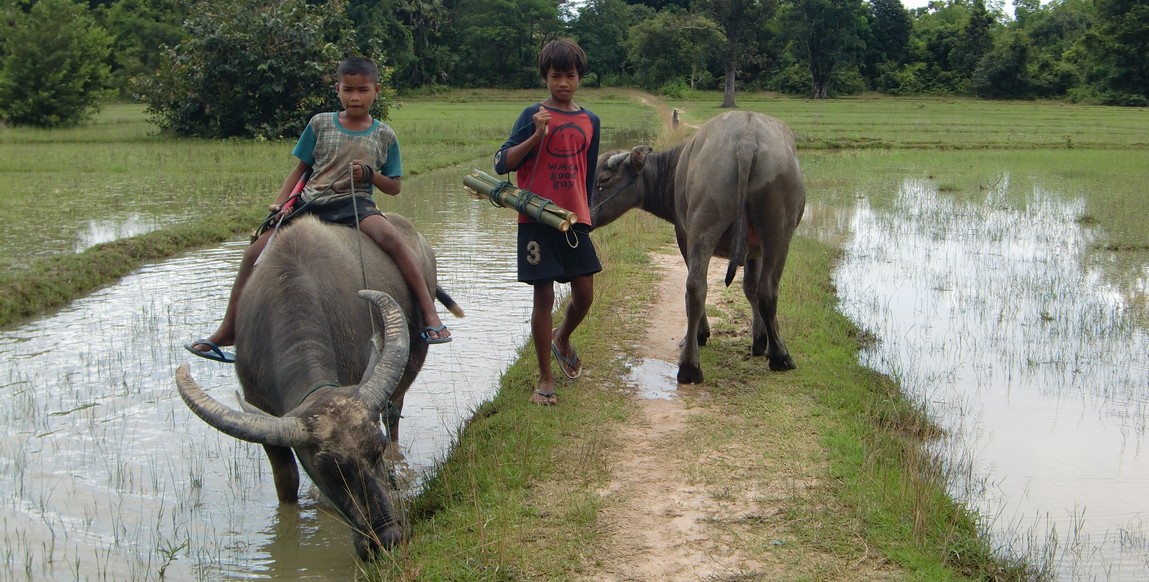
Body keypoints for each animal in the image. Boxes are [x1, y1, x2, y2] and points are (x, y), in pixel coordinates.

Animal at [172, 214, 459, 560]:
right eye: (325, 469)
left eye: (375, 451)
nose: (387, 537)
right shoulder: (264, 413)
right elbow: (286, 481)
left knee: (395, 414)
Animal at [597, 110, 804, 385]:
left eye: (603, 180)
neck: (673, 171)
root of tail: (747, 139)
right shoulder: (747, 248)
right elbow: (750, 288)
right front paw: (761, 340)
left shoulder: (684, 233)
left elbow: (748, 288)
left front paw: (757, 340)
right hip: (772, 233)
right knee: (756, 289)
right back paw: (777, 355)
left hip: (707, 229)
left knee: (699, 287)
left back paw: (692, 363)